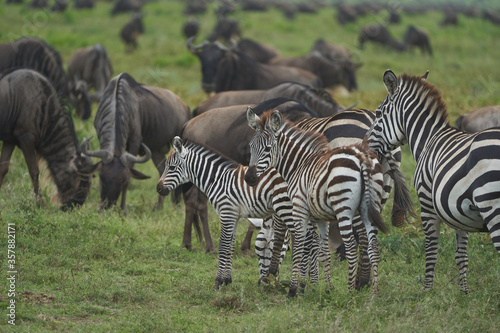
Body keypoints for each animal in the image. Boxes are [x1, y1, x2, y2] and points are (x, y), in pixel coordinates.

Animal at [158, 137, 294, 288]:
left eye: (171, 167)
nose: (158, 188)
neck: (218, 180)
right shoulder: (234, 215)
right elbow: (230, 246)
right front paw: (227, 280)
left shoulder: (226, 212)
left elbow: (223, 246)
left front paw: (217, 281)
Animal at [244, 109, 388, 296]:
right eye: (250, 147)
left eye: (268, 149)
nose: (249, 178)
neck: (298, 165)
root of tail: (362, 157)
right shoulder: (318, 216)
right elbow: (321, 249)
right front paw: (324, 287)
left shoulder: (299, 209)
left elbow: (300, 247)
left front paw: (296, 288)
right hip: (370, 208)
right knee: (373, 248)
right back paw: (374, 293)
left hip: (344, 209)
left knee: (352, 247)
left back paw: (351, 290)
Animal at [366, 68, 500, 292]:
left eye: (377, 114)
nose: (364, 144)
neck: (429, 139)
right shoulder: (457, 210)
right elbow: (461, 256)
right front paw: (464, 292)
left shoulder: (427, 201)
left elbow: (431, 250)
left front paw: (426, 290)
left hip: (492, 206)